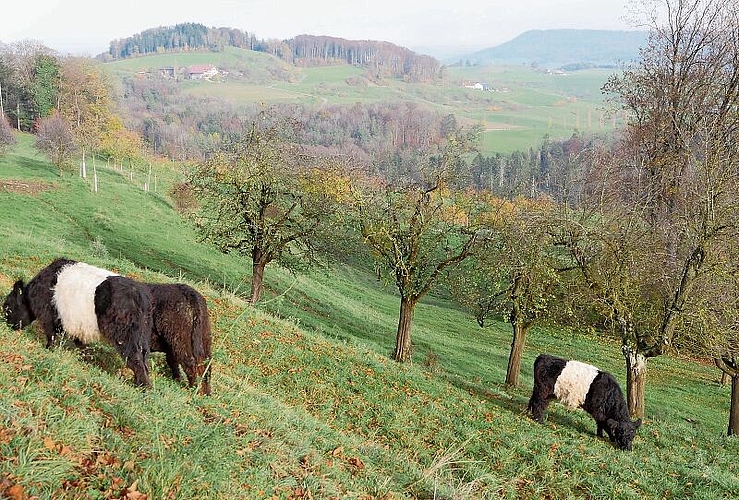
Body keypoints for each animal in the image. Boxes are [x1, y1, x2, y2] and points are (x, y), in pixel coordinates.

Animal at [3, 258, 155, 386]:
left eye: (7, 308)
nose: (7, 325)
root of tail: (140, 294)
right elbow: (80, 344)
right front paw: (84, 358)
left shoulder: (49, 316)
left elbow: (51, 336)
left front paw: (49, 349)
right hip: (141, 336)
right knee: (143, 358)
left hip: (125, 336)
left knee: (135, 358)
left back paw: (143, 386)